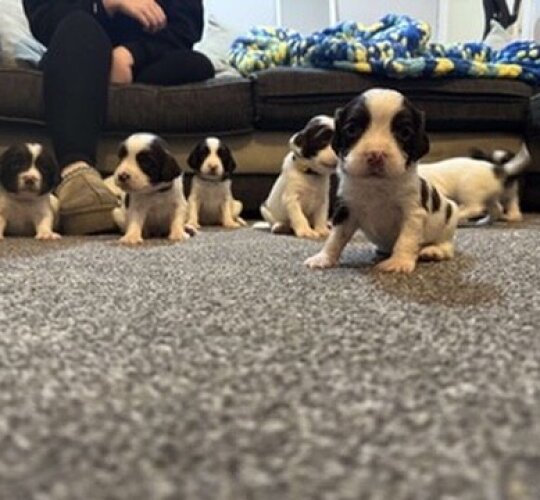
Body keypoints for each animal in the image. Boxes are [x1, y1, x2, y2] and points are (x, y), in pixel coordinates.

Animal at [306, 87, 458, 274]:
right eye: (352, 129)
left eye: (405, 133)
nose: (376, 155)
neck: (376, 185)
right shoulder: (346, 209)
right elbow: (336, 237)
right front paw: (324, 257)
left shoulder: (413, 212)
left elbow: (406, 239)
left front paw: (399, 262)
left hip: (450, 218)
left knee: (447, 245)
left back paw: (433, 251)